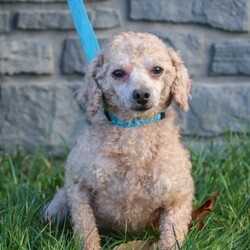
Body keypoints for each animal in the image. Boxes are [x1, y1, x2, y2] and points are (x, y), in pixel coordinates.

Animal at [44, 32, 194, 249]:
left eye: (157, 70)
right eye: (118, 73)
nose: (141, 94)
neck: (134, 131)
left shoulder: (178, 196)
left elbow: (171, 237)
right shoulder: (78, 186)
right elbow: (86, 230)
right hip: (57, 207)